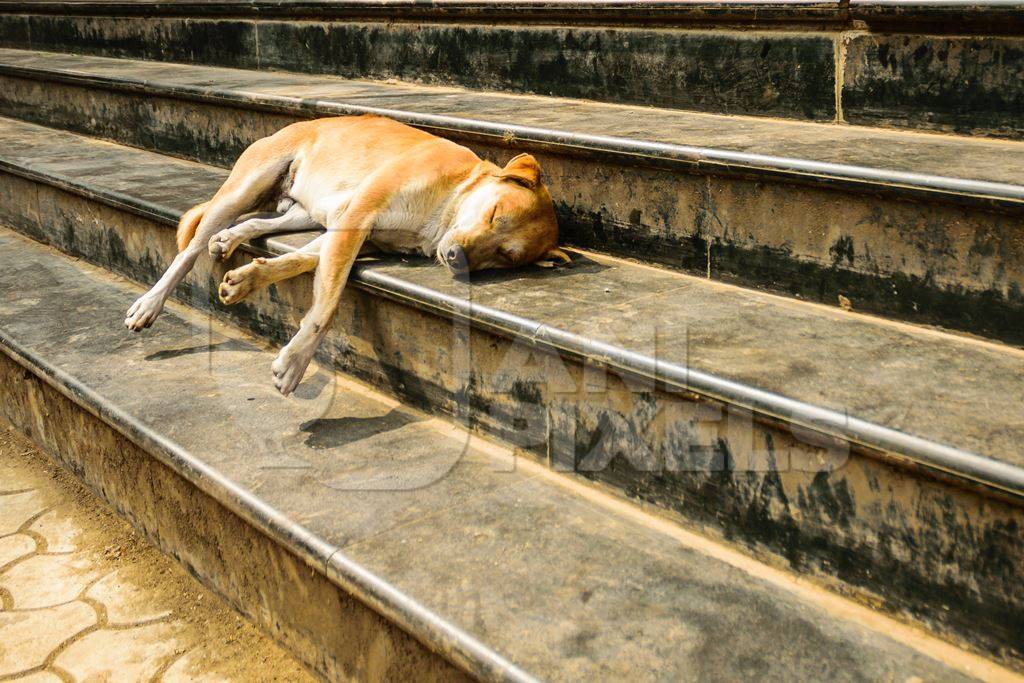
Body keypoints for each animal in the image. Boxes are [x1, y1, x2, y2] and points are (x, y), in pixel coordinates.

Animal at [124, 116, 573, 395]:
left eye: (504, 255)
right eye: (494, 213)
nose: (456, 257)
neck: (446, 202)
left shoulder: (355, 231)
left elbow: (302, 262)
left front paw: (249, 279)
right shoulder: (357, 217)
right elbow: (328, 303)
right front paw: (296, 361)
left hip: (305, 212)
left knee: (258, 224)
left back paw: (231, 238)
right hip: (245, 187)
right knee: (190, 249)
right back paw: (150, 303)